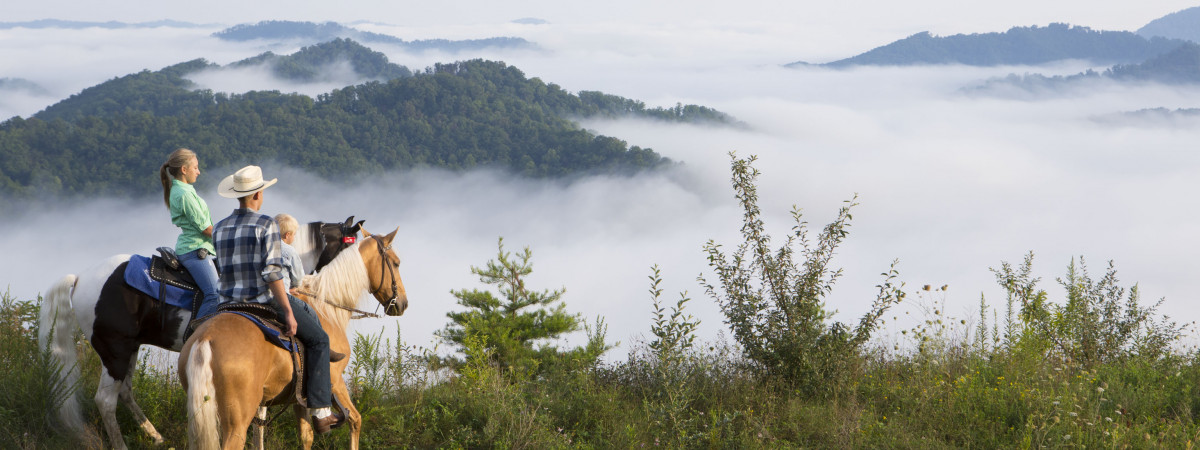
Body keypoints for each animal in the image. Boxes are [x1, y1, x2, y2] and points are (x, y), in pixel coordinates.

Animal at [38, 217, 364, 448]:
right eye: (351, 244)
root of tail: (80, 278)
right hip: (114, 350)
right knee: (106, 400)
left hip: (128, 348)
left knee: (125, 392)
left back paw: (156, 436)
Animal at [176, 229, 403, 450]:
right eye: (396, 263)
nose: (402, 303)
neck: (326, 308)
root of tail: (205, 338)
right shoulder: (334, 380)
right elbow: (355, 419)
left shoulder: (298, 397)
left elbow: (306, 436)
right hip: (236, 421)